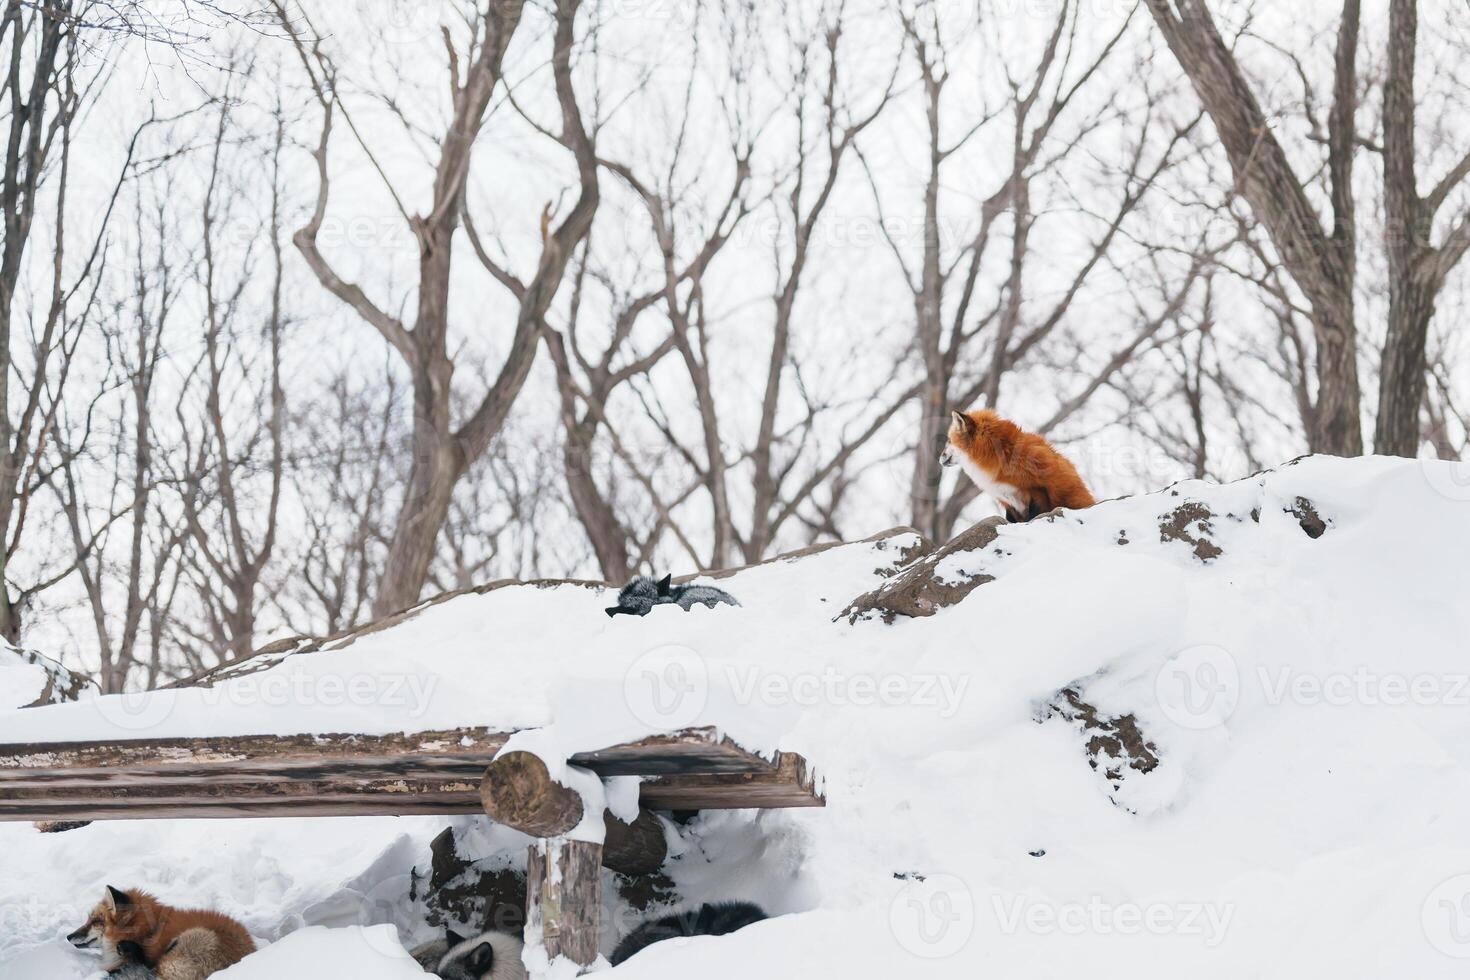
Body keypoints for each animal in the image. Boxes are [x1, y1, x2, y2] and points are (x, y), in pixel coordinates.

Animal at [940, 411, 1093, 525]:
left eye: (949, 440)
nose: (939, 457)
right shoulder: (1007, 502)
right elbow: (1010, 520)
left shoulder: (1038, 492)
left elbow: (1033, 517)